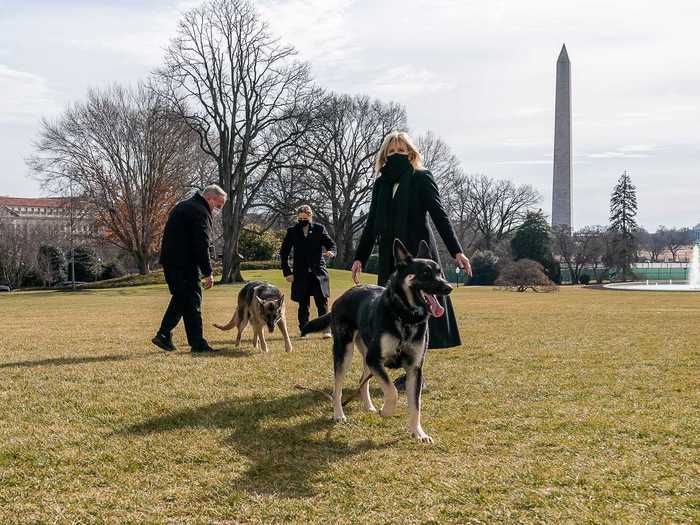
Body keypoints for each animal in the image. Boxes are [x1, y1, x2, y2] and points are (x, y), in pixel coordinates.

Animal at [300, 238, 454, 442]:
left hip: (365, 354)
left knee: (362, 380)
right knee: (337, 388)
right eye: (425, 273)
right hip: (345, 352)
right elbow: (392, 391)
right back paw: (339, 414)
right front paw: (387, 411)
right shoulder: (375, 359)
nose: (448, 288)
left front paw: (418, 433)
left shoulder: (414, 368)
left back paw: (369, 406)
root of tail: (344, 295)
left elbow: (416, 405)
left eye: (439, 272)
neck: (404, 315)